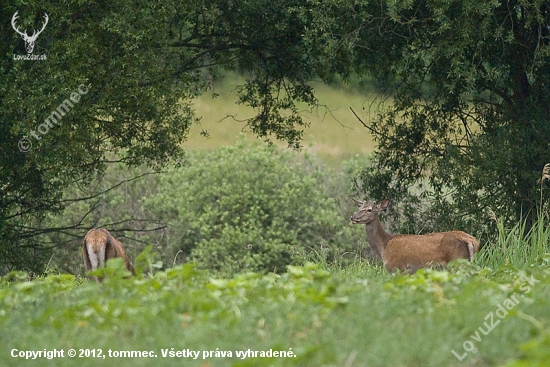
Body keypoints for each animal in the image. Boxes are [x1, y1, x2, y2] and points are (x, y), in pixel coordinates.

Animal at [352, 198, 480, 274]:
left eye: (369, 210)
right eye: (359, 208)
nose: (352, 217)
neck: (384, 246)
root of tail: (472, 241)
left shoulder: (397, 267)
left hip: (457, 261)